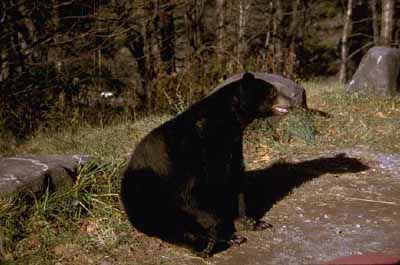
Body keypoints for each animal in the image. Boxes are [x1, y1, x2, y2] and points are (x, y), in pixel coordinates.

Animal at [120, 71, 296, 256]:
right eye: (272, 91)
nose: (291, 100)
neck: (227, 122)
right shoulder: (198, 151)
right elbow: (202, 192)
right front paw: (230, 235)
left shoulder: (233, 145)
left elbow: (235, 180)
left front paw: (253, 222)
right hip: (147, 192)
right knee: (168, 223)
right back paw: (205, 244)